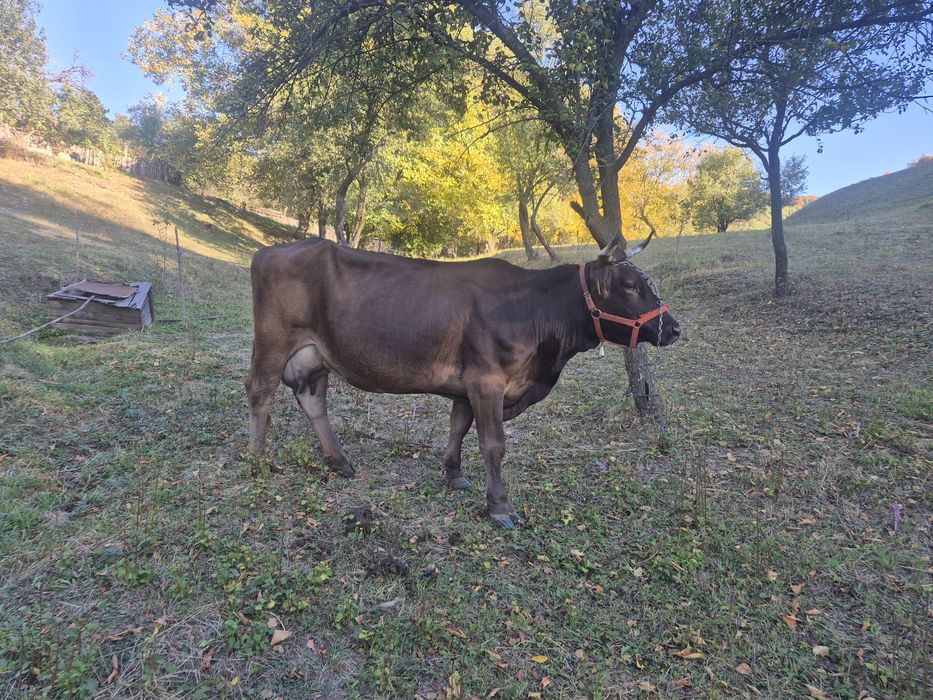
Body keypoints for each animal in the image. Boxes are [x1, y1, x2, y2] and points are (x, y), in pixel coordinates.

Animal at [246, 232, 680, 528]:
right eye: (630, 286)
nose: (673, 328)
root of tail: (271, 250)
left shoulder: (468, 383)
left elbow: (458, 425)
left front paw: (453, 473)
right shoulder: (487, 380)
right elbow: (493, 445)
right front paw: (500, 506)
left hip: (315, 355)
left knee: (312, 399)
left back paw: (339, 462)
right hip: (273, 342)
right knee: (260, 392)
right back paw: (259, 463)